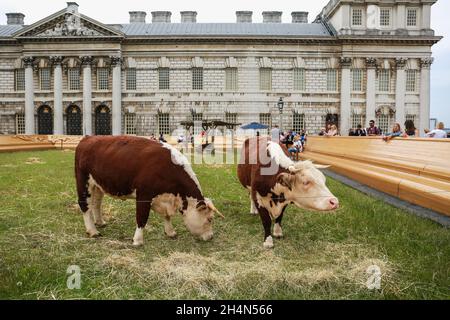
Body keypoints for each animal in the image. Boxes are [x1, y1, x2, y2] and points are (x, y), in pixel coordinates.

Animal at [74, 135, 222, 245]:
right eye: (210, 219)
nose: (211, 236)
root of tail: (88, 138)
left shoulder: (163, 198)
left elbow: (166, 216)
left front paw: (170, 232)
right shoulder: (144, 195)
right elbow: (142, 218)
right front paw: (138, 240)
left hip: (98, 185)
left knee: (96, 203)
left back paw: (100, 222)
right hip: (83, 181)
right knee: (84, 205)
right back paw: (93, 231)